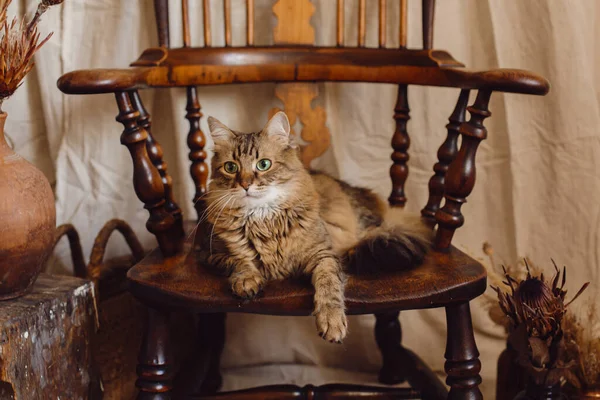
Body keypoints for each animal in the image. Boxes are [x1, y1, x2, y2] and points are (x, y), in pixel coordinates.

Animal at [202, 111, 432, 342]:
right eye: (231, 167)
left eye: (263, 164)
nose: (245, 185)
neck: (263, 221)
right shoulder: (211, 255)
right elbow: (239, 261)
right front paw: (247, 280)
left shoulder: (323, 255)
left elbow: (328, 285)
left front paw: (331, 321)